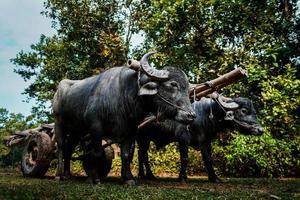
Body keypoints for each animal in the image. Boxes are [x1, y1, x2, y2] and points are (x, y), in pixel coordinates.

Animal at [52, 51, 196, 184]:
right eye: (173, 84)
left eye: (187, 87)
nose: (191, 115)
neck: (124, 95)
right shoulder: (95, 128)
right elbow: (97, 152)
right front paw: (94, 177)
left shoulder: (130, 131)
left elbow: (126, 155)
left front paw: (128, 178)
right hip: (59, 123)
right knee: (61, 147)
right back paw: (58, 175)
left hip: (77, 130)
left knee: (69, 149)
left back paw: (67, 174)